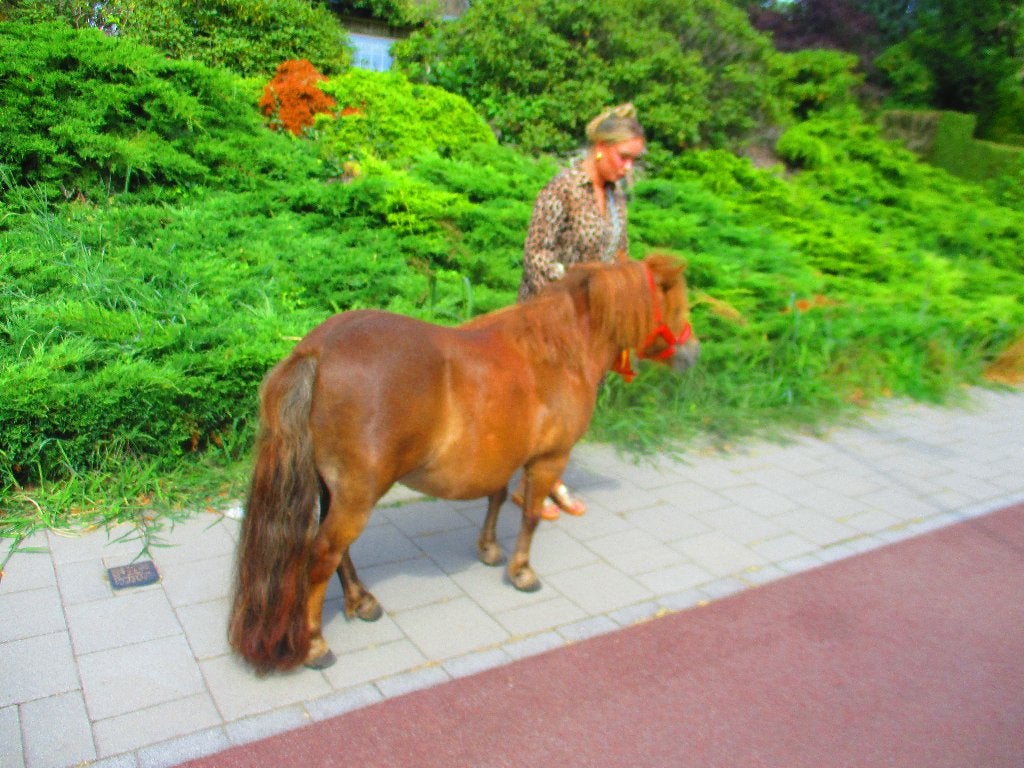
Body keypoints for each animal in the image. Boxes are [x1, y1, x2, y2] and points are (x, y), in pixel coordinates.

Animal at [229, 253, 699, 673]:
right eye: (675, 304)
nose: (693, 353)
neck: (556, 349)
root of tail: (317, 350)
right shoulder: (548, 458)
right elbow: (530, 515)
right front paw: (521, 571)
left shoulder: (502, 453)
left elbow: (495, 497)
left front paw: (489, 549)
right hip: (357, 495)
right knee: (323, 554)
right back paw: (315, 645)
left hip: (334, 490)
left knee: (338, 553)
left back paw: (361, 601)